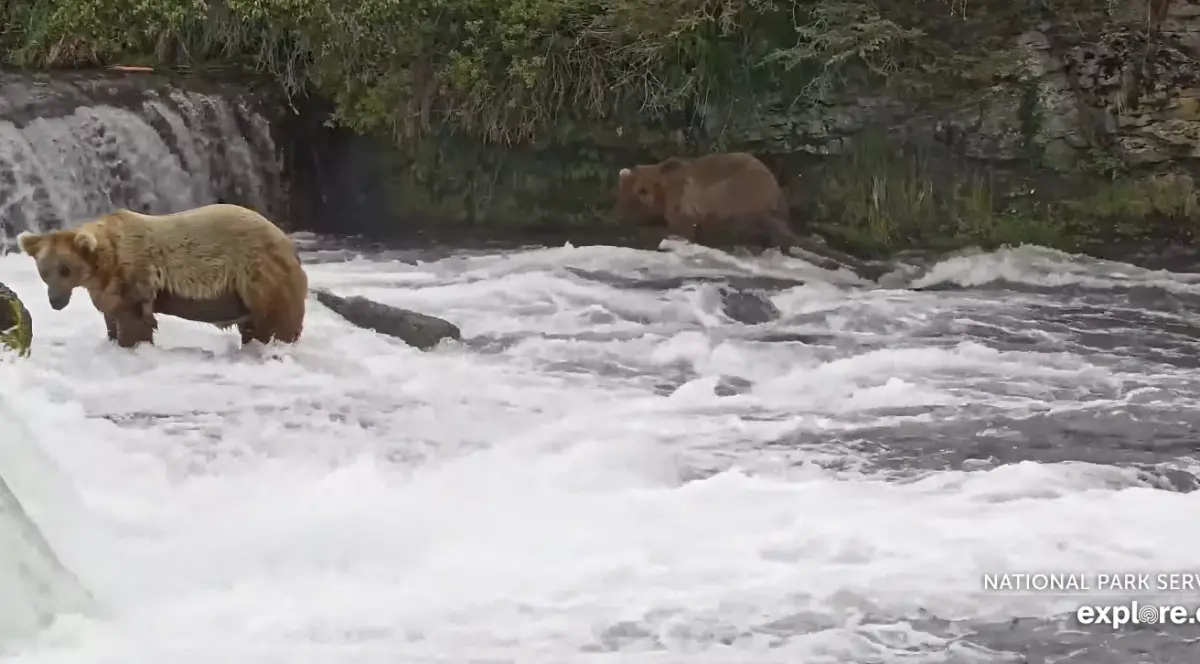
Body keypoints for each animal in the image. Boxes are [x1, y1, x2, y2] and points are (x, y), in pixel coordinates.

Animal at [16, 203, 308, 349]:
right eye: (44, 271)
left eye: (65, 269)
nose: (55, 301)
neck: (104, 264)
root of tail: (286, 241)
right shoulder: (105, 288)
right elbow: (110, 313)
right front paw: (112, 336)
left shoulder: (135, 275)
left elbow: (135, 318)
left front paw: (131, 343)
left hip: (258, 273)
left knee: (274, 318)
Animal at [613, 152, 883, 279]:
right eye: (620, 196)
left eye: (635, 197)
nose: (621, 215)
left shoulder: (684, 201)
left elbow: (681, 226)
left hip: (732, 194)